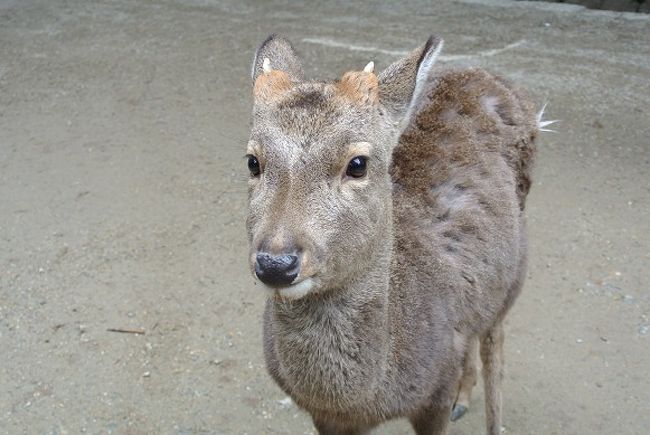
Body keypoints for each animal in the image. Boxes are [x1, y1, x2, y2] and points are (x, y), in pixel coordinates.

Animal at [243, 35, 548, 435]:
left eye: (358, 163)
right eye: (253, 161)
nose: (276, 263)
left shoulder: (434, 393)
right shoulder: (325, 417)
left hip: (515, 271)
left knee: (494, 341)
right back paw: (463, 400)